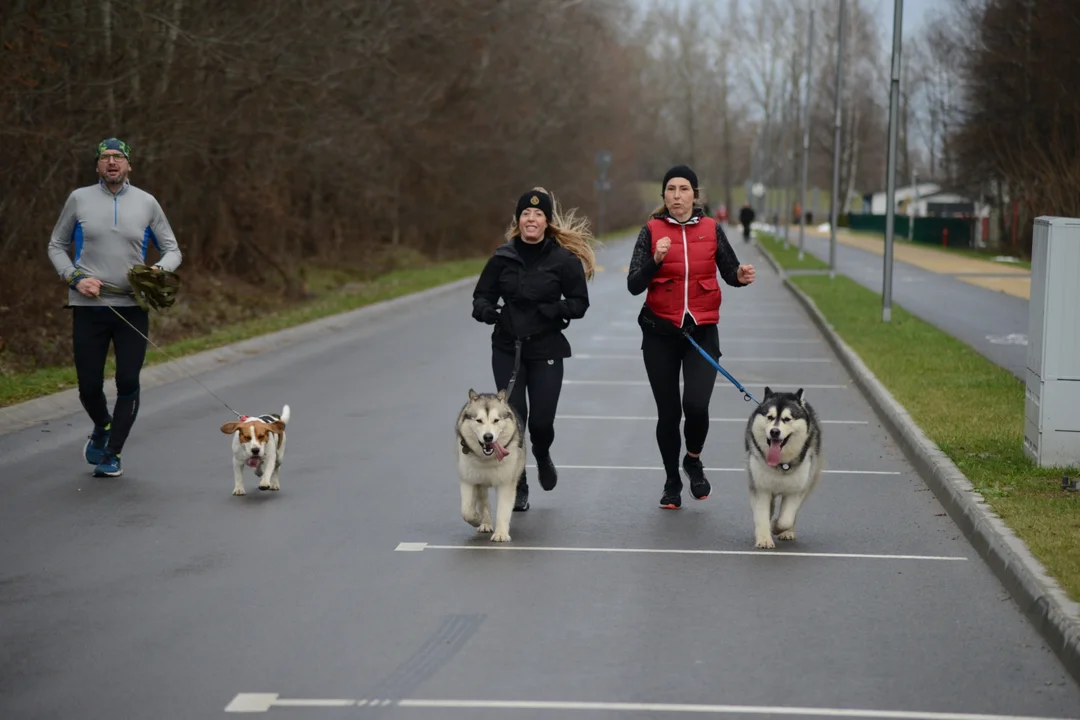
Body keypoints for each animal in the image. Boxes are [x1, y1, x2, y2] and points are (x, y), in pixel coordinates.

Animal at [453, 388, 524, 539]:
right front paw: (478, 519)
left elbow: (503, 510)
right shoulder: (468, 479)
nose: (488, 437)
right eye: (479, 420)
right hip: (480, 481)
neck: (487, 459)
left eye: (496, 420)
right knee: (483, 500)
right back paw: (485, 522)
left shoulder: (506, 481)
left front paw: (501, 534)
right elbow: (466, 511)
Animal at [743, 390, 825, 548]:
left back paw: (787, 532)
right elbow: (761, 514)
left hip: (809, 480)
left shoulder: (795, 490)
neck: (781, 464)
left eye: (787, 419)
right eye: (770, 417)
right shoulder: (760, 487)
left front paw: (776, 527)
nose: (774, 431)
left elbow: (786, 519)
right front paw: (764, 539)